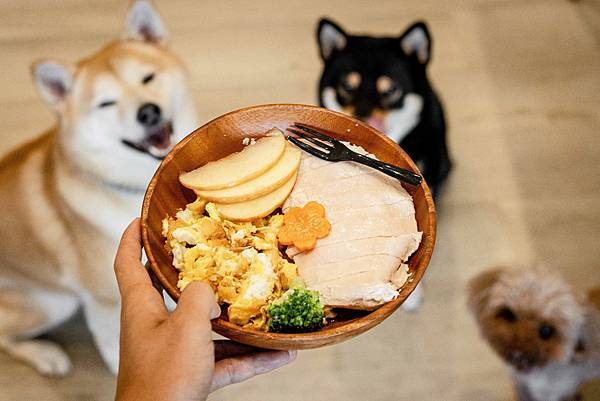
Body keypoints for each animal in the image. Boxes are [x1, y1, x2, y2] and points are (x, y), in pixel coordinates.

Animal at [0, 0, 199, 376]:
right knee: (4, 338)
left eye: (147, 78)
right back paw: (45, 355)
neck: (137, 183)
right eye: (106, 103)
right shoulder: (105, 301)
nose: (148, 113)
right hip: (54, 303)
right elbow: (116, 350)